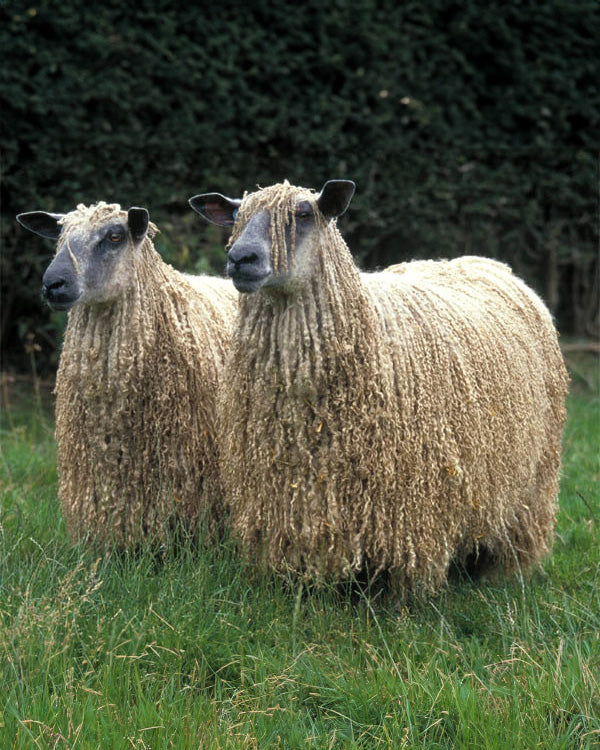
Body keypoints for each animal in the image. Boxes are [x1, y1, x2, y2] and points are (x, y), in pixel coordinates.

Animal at [190, 181, 568, 592]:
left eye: (303, 214)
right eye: (237, 217)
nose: (241, 258)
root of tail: (486, 263)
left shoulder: (411, 504)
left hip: (534, 475)